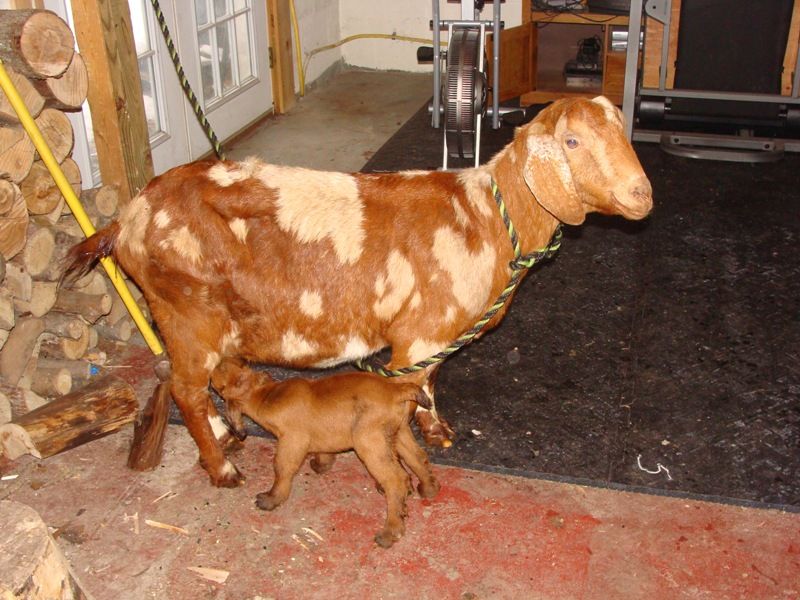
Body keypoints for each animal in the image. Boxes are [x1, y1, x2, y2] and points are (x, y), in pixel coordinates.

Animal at [65, 96, 653, 487]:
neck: (486, 218)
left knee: (193, 378)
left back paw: (224, 431)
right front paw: (413, 451)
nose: (641, 193)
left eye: (622, 132)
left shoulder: (428, 340)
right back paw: (222, 467)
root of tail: (127, 219)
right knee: (185, 387)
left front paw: (438, 431)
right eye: (572, 142)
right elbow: (412, 391)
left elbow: (430, 385)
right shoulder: (418, 338)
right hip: (188, 314)